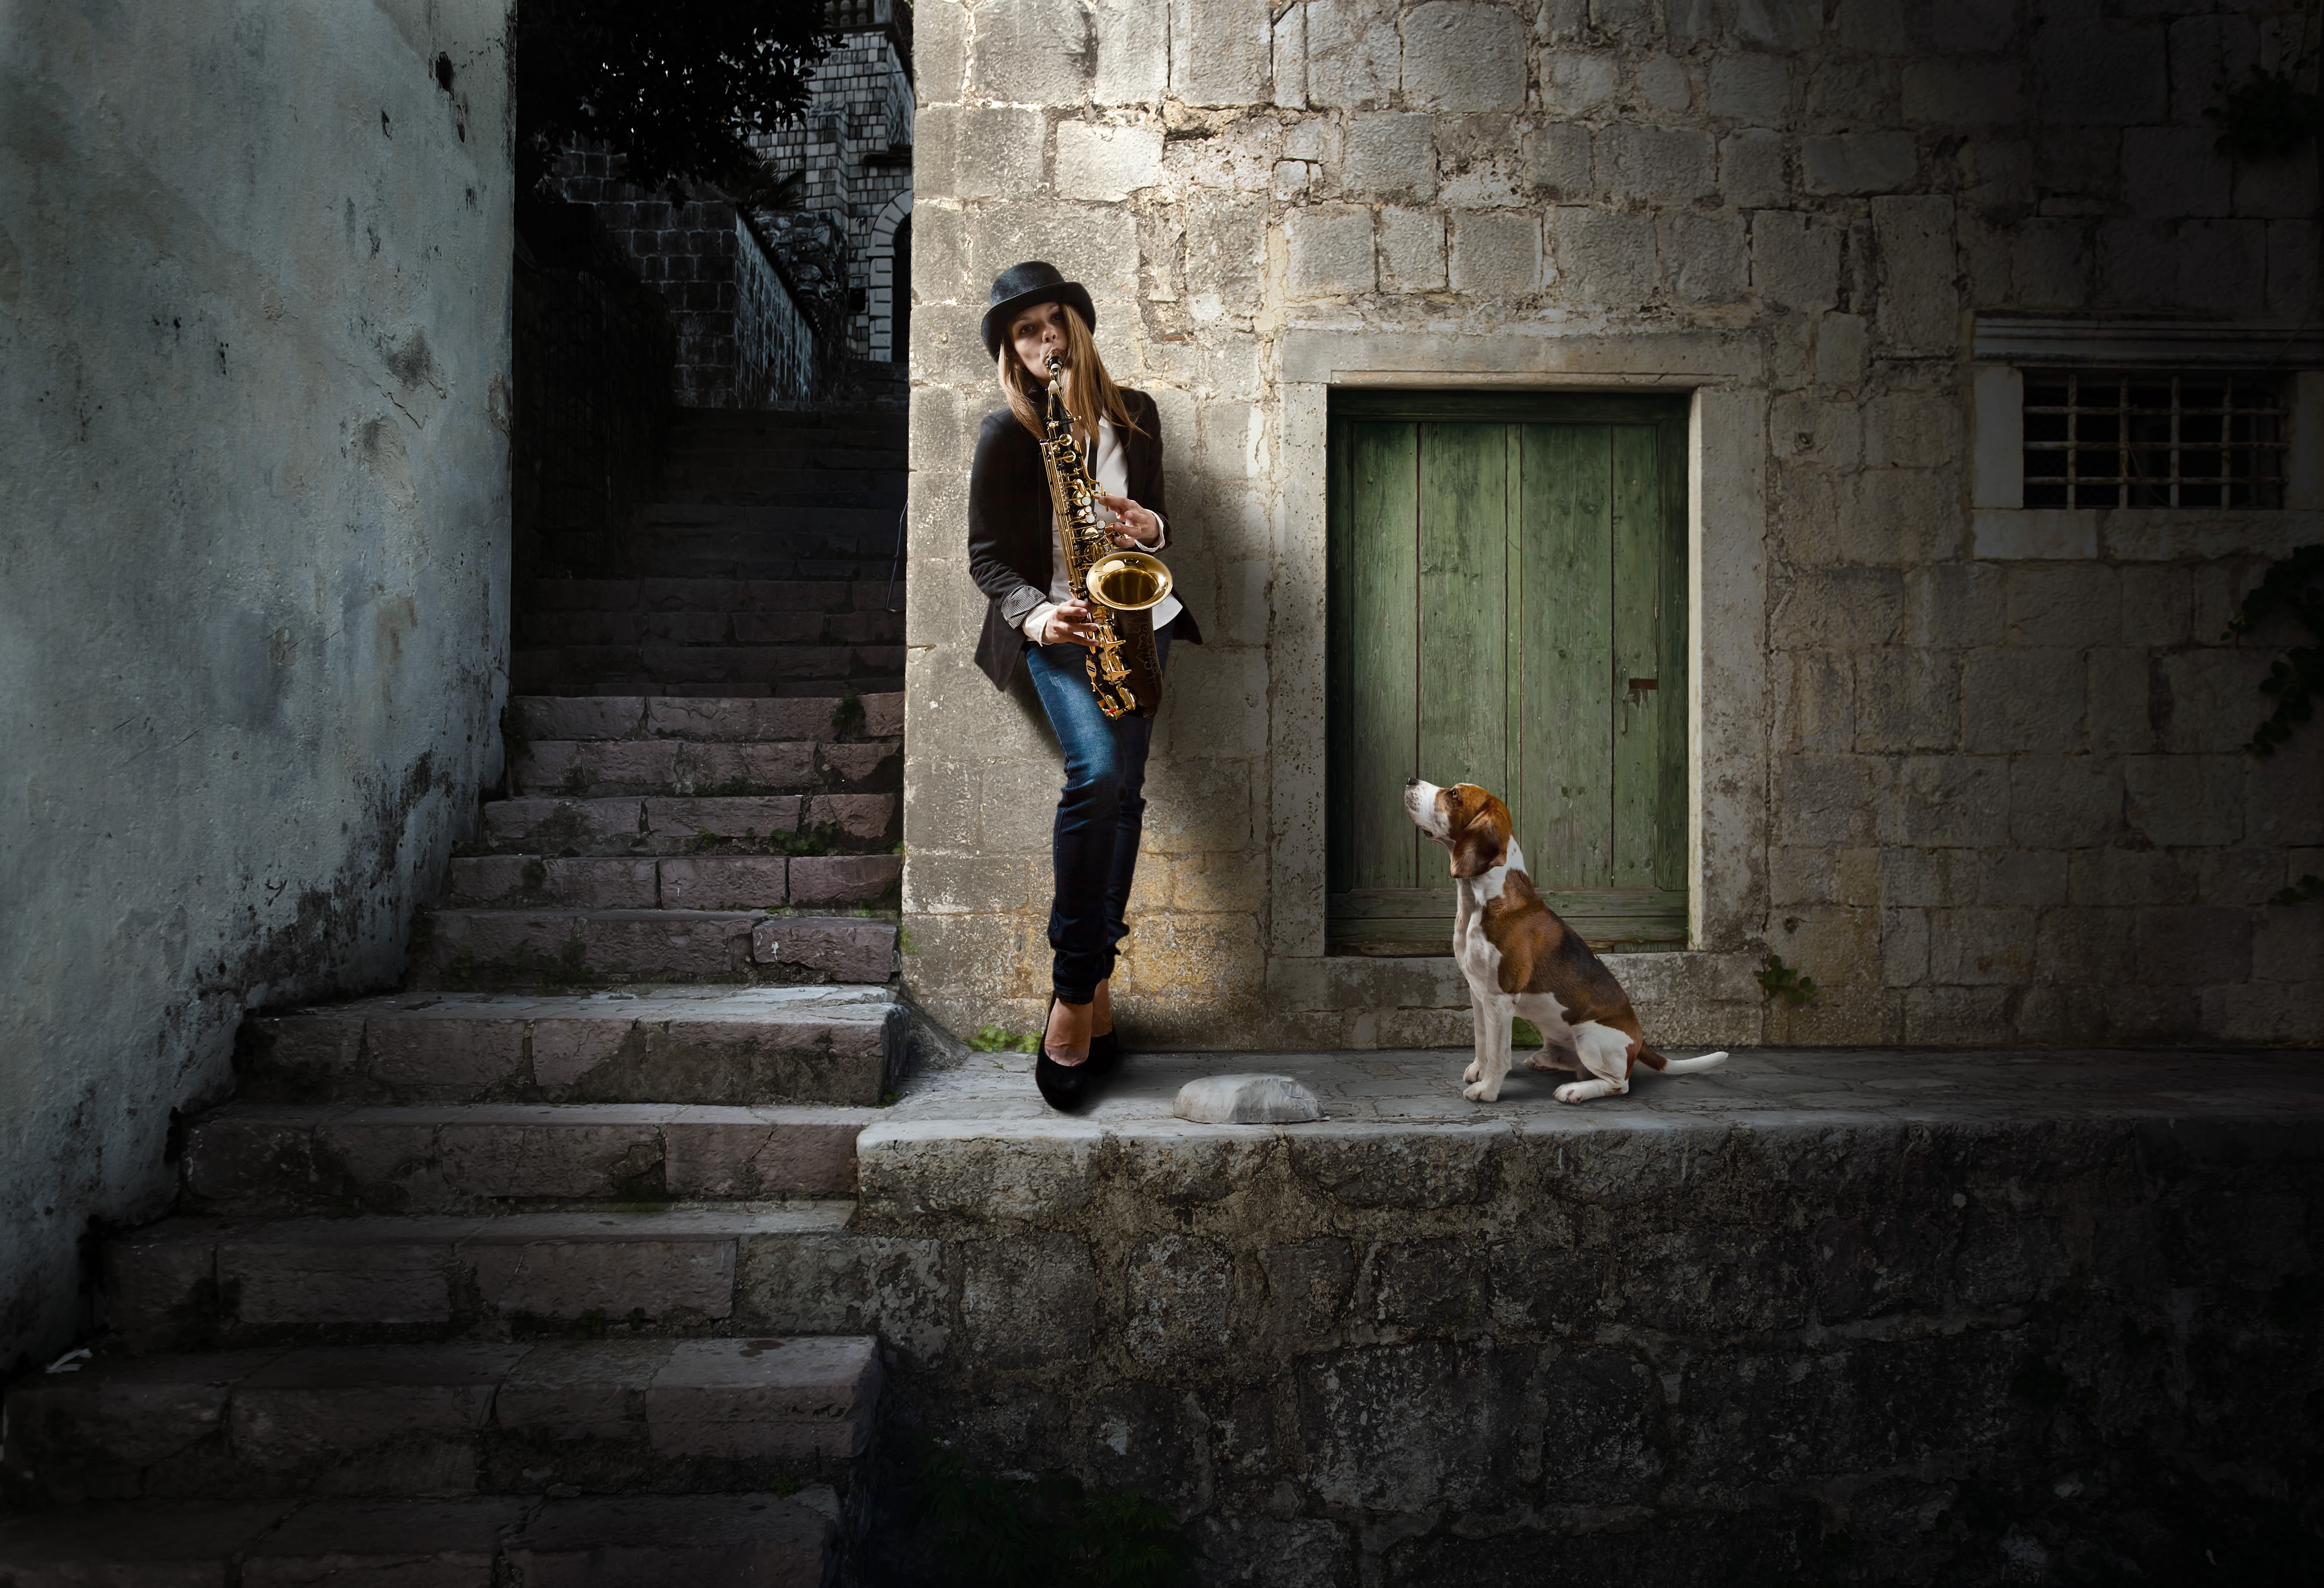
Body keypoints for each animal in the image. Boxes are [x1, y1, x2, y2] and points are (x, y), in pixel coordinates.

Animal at [1394, 781, 1729, 1107]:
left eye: (1454, 794)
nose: (1411, 780)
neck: (1482, 899)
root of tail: (1639, 1041)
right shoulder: (1478, 992)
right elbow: (1482, 1039)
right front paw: (1479, 1070)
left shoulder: (1501, 999)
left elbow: (1499, 1054)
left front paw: (1488, 1090)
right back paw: (1548, 1060)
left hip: (1589, 1037)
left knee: (1619, 1084)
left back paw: (1576, 1091)